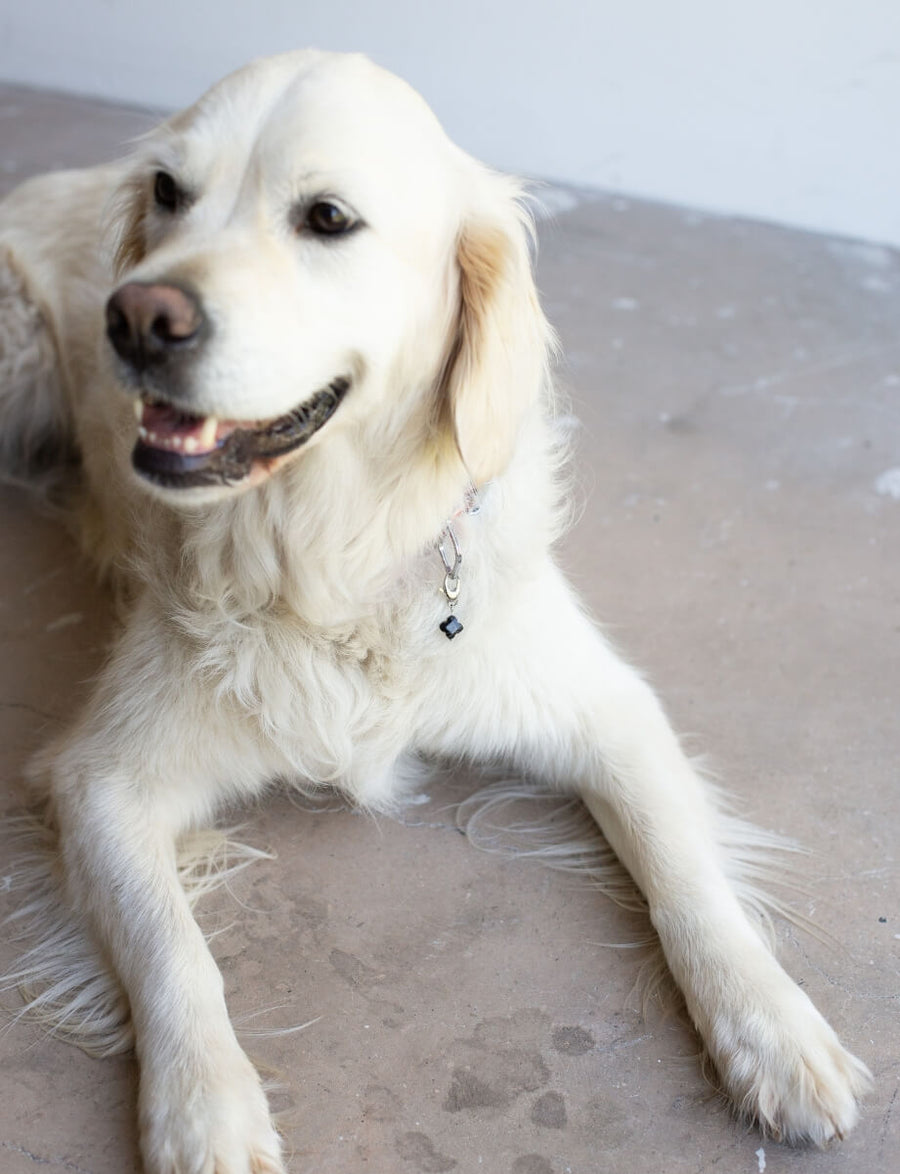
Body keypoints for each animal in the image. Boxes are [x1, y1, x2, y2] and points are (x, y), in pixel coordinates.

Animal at [0, 48, 873, 1174]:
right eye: (168, 193)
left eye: (327, 217)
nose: (135, 316)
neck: (333, 562)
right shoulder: (99, 779)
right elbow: (172, 948)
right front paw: (205, 1113)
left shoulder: (607, 707)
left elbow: (686, 873)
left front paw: (774, 1030)